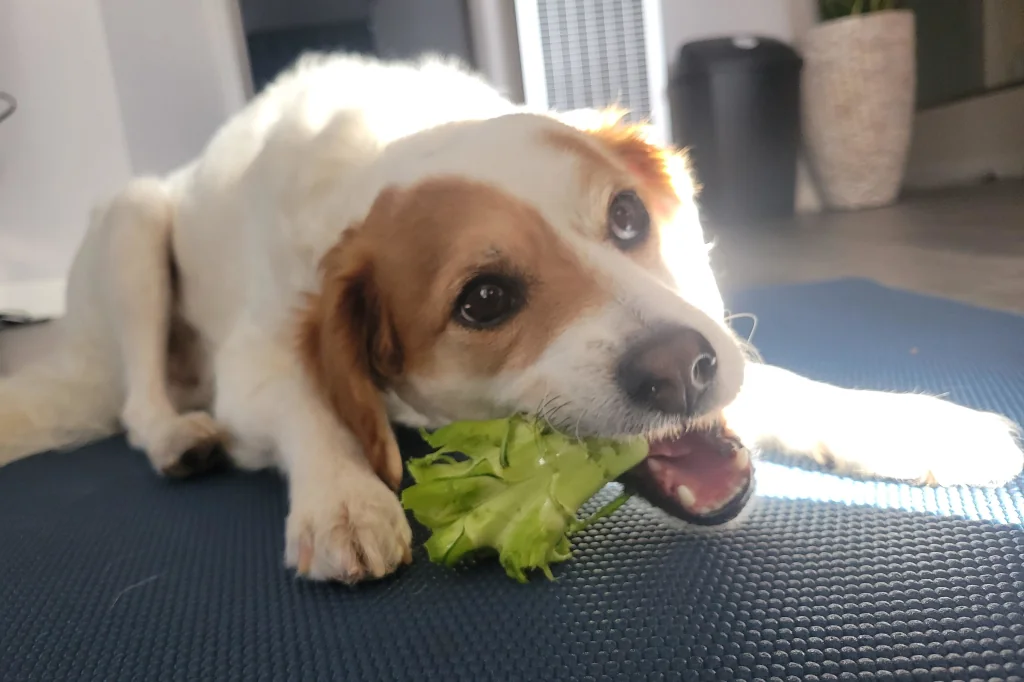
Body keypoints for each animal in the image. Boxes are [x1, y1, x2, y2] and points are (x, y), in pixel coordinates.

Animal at [0, 55, 1019, 581]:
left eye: (627, 217)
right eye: (484, 300)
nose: (682, 367)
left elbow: (781, 387)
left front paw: (913, 424)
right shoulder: (255, 364)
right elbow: (312, 413)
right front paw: (343, 498)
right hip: (135, 224)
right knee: (137, 407)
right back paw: (181, 436)